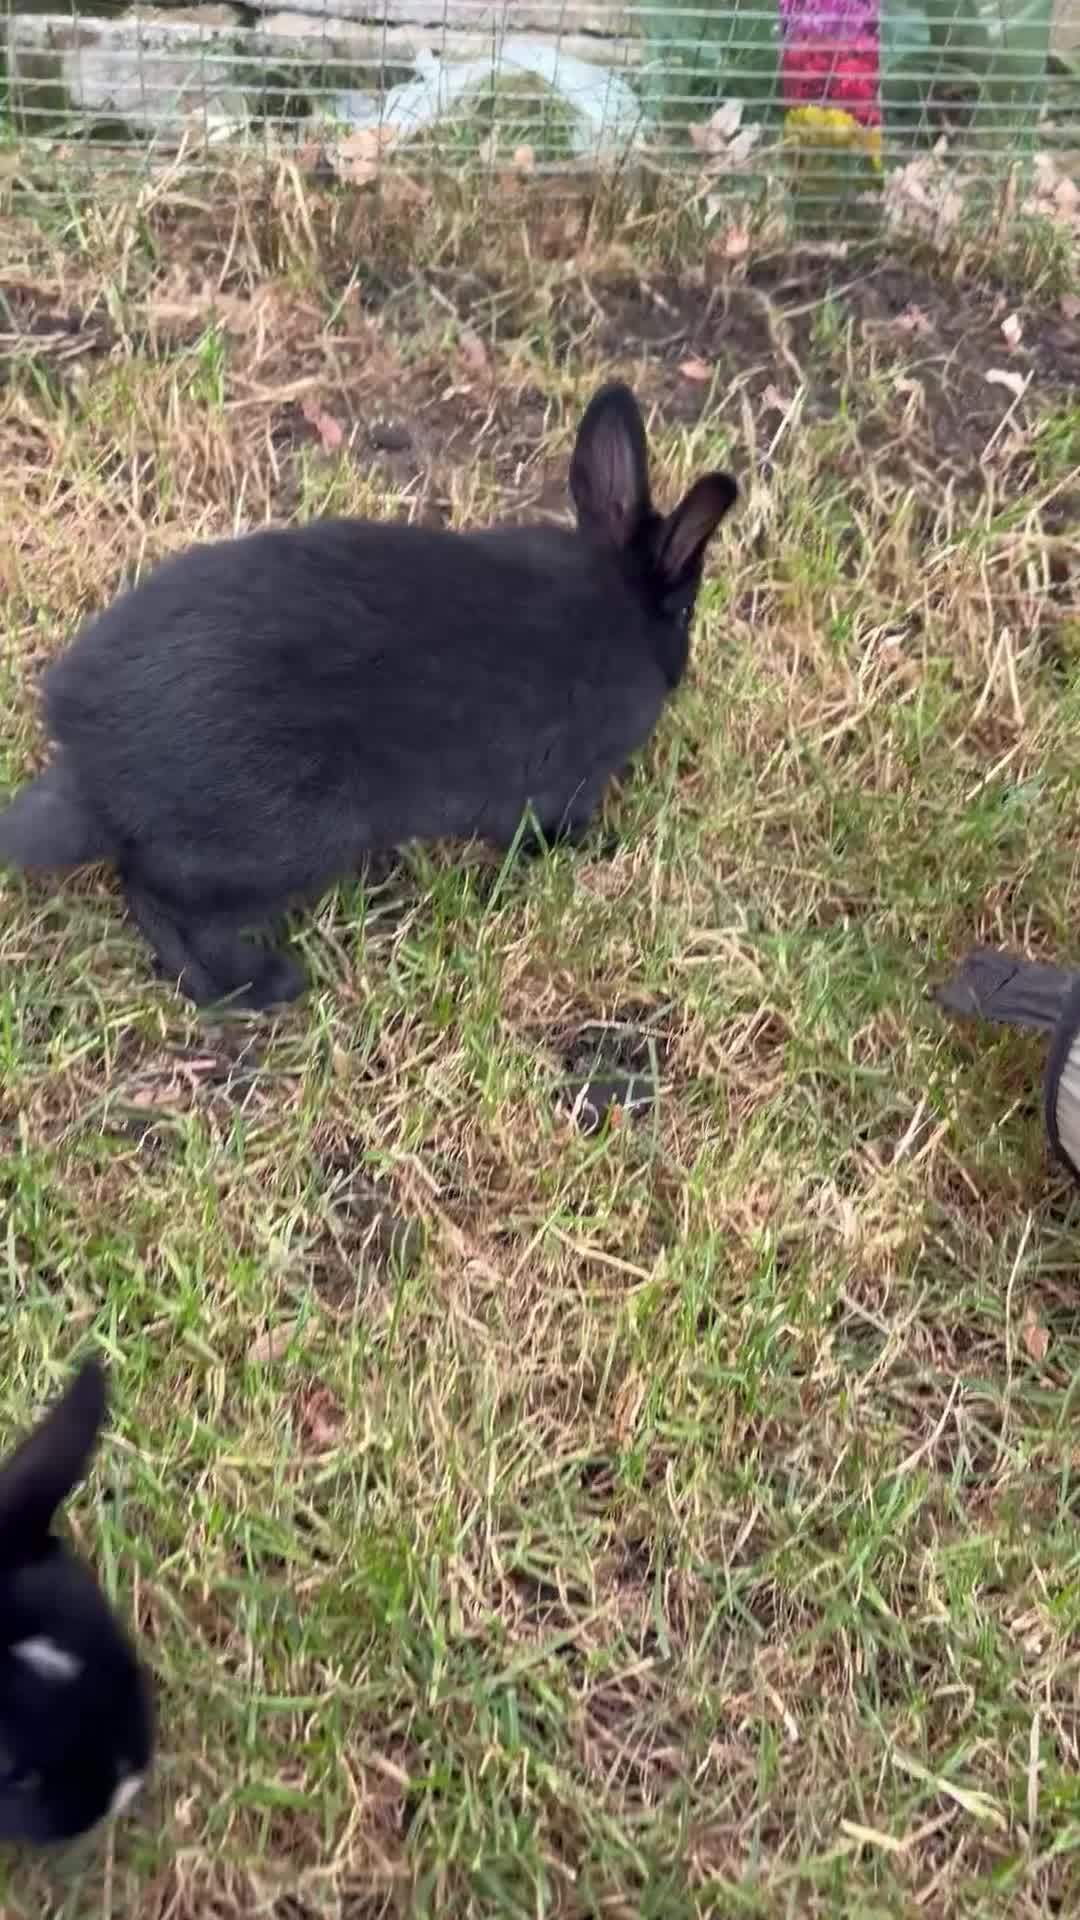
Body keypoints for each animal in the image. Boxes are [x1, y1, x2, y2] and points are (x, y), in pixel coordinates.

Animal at [0, 380, 737, 1010]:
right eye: (685, 612)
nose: (684, 668)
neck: (617, 597)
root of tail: (91, 772)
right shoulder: (561, 788)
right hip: (288, 848)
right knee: (160, 902)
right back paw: (263, 986)